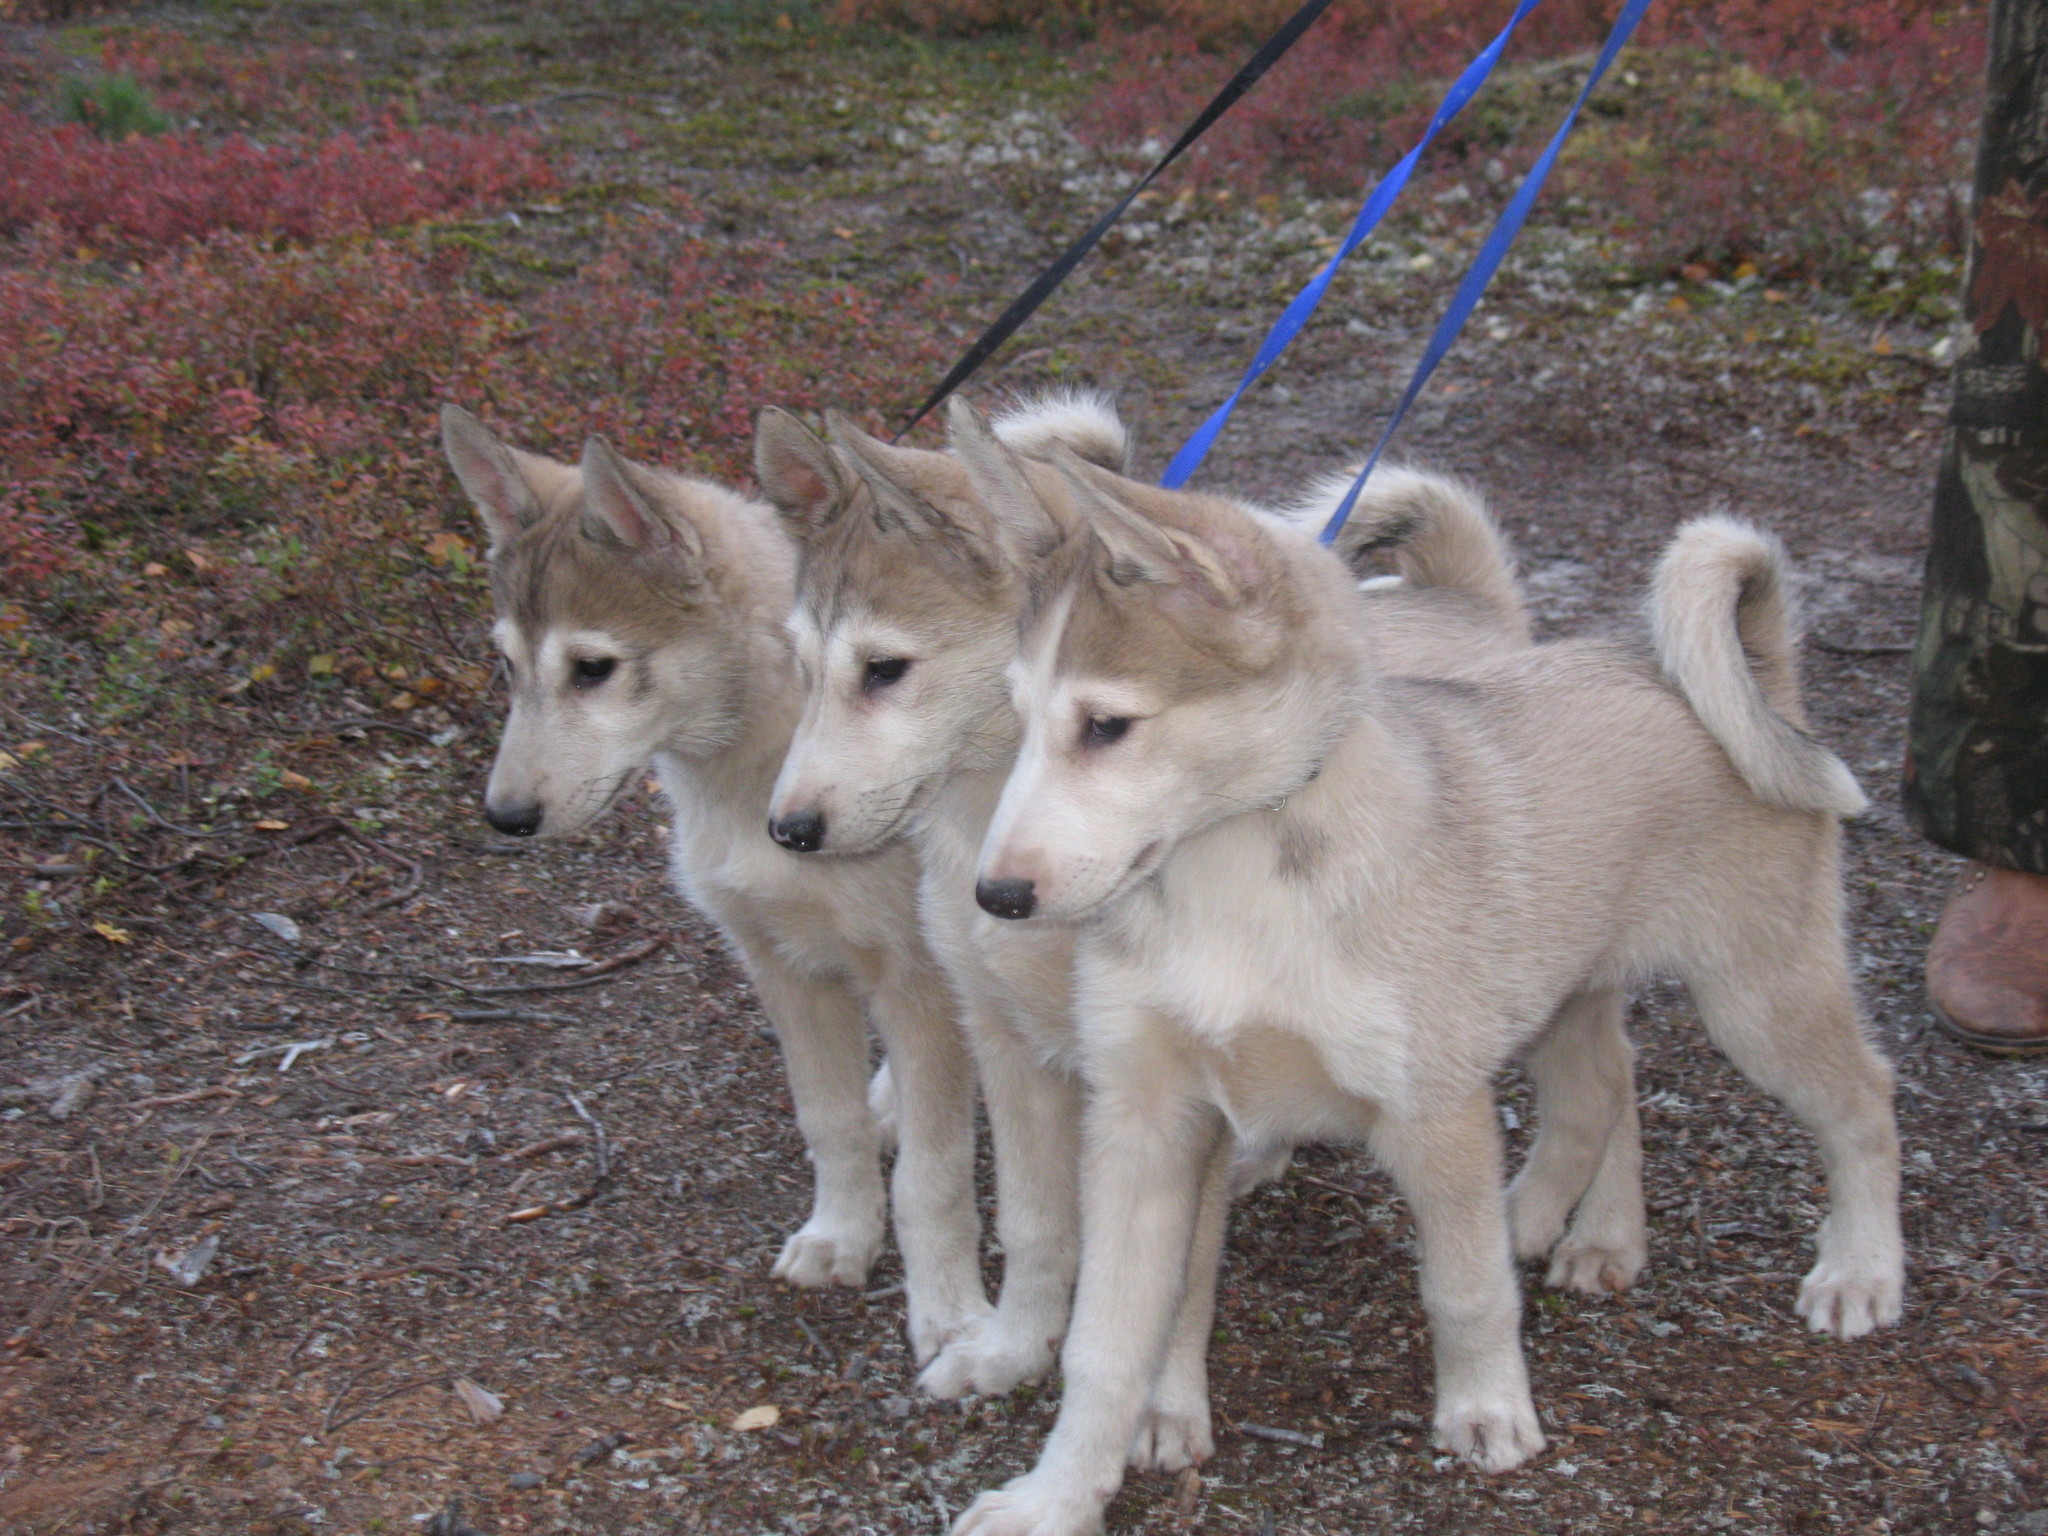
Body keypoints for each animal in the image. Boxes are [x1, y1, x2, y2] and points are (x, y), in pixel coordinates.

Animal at [440, 403, 999, 1368]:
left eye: (593, 668)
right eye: (507, 666)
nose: (504, 817)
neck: (751, 782)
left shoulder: (916, 978)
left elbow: (931, 1181)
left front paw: (951, 1318)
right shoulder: (781, 965)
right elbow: (829, 1121)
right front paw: (841, 1234)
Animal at [954, 450, 1900, 1531]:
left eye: (1107, 726)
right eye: (1019, 719)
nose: (996, 896)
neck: (1232, 881)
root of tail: (1750, 677)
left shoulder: (1430, 1107)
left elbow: (1461, 1288)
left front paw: (1486, 1406)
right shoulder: (1148, 1123)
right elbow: (1104, 1343)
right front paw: (1054, 1497)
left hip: (1757, 1000)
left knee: (1862, 1099)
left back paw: (1860, 1270)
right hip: (1561, 985)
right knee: (1605, 1086)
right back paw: (1576, 1229)